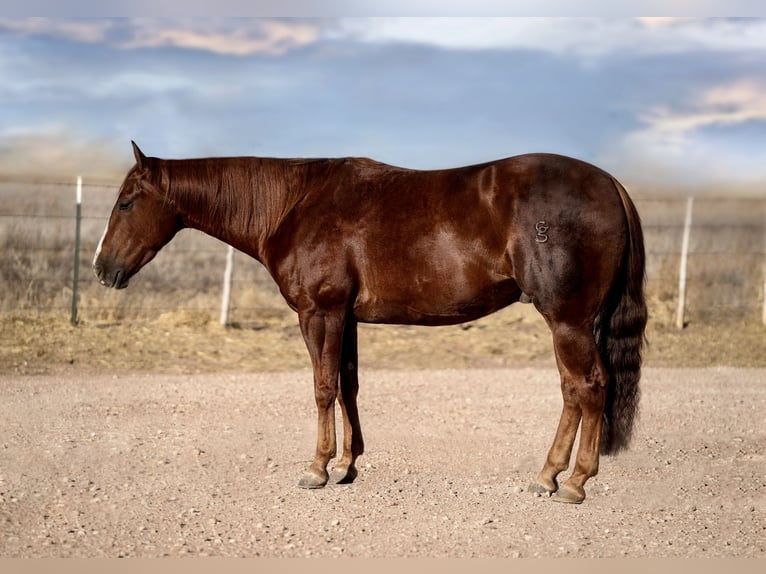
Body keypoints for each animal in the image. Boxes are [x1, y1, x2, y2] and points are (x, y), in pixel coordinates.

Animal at [94, 142, 647, 504]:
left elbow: (322, 387)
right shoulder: (347, 318)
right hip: (570, 322)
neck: (294, 204)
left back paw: (574, 482)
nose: (102, 268)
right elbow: (347, 385)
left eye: (126, 202)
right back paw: (548, 475)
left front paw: (317, 468)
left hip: (567, 319)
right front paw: (347, 464)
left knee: (589, 386)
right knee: (572, 390)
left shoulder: (320, 313)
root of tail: (610, 184)